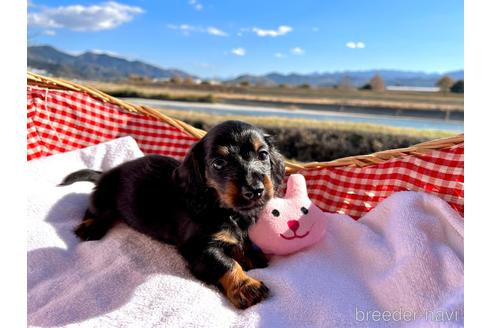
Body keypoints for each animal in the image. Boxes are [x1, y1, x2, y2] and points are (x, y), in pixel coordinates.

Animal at [59, 120, 284, 308]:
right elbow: (227, 263)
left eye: (263, 155)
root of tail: (106, 172)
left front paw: (251, 254)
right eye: (219, 163)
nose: (255, 190)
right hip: (104, 197)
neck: (222, 208)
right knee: (93, 209)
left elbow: (241, 241)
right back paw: (90, 227)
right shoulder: (197, 248)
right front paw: (246, 286)